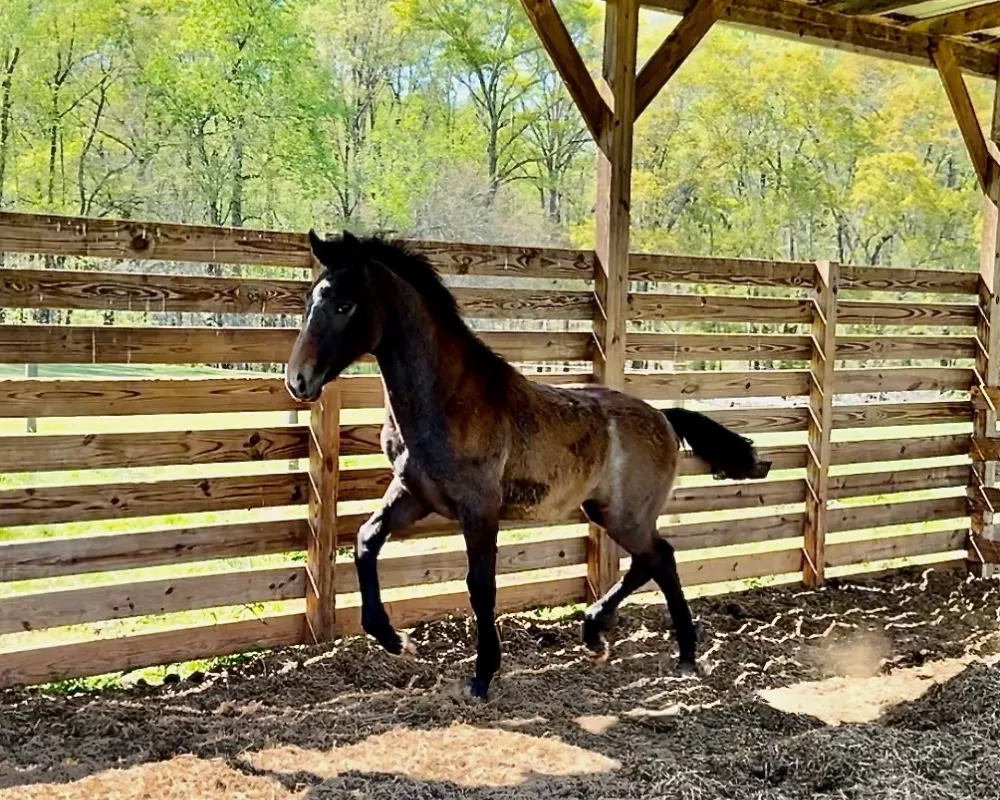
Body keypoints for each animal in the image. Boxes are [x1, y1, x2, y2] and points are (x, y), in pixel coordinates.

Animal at [286, 230, 768, 700]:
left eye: (345, 305)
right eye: (310, 301)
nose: (298, 380)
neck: (448, 401)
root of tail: (664, 418)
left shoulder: (479, 507)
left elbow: (480, 585)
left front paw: (482, 675)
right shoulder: (413, 494)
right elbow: (366, 541)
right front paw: (395, 641)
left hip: (624, 514)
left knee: (659, 558)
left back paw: (671, 649)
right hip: (605, 511)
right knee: (651, 561)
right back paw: (611, 637)